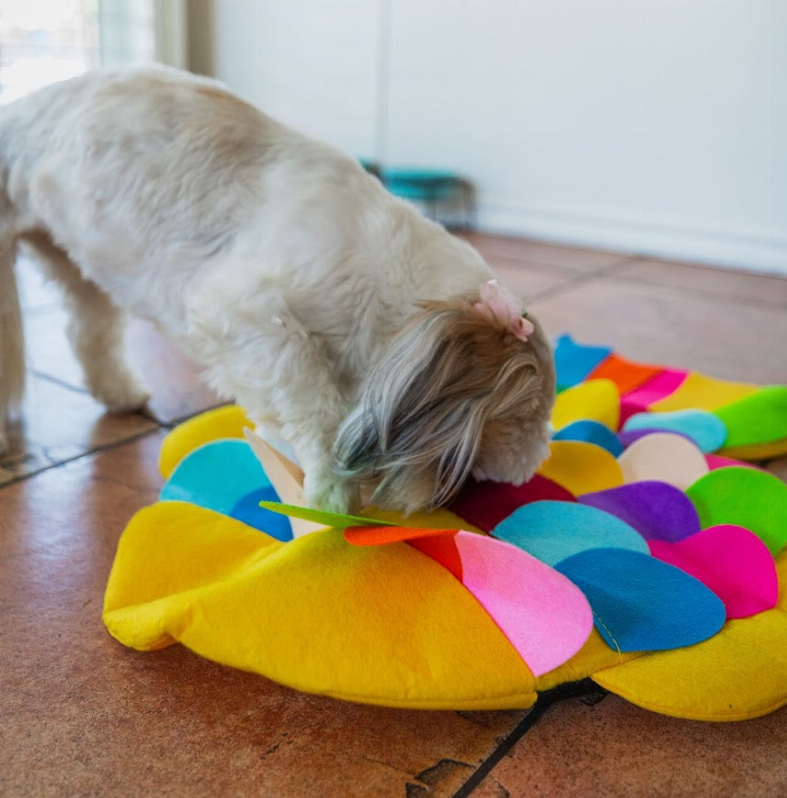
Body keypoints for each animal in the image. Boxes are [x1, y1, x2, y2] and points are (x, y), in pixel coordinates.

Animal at [0, 67, 556, 512]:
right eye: (459, 464)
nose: (437, 504)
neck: (389, 278)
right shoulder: (245, 315)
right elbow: (313, 400)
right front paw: (331, 491)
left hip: (79, 262)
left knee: (87, 331)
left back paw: (118, 392)